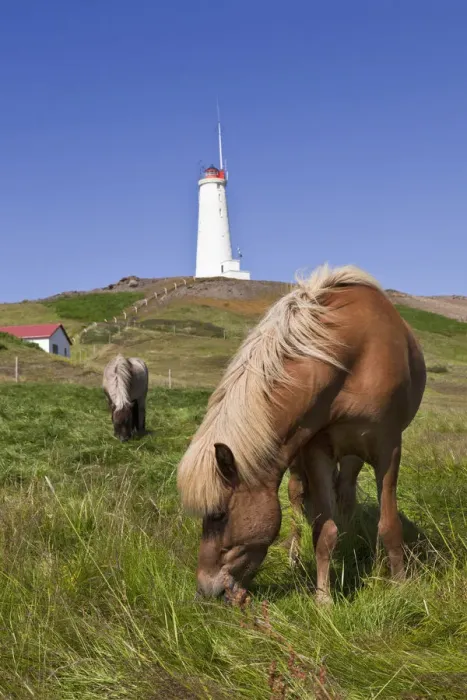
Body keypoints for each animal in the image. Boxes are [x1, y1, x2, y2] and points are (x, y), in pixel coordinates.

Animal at [177, 264, 426, 605]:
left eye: (219, 515)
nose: (204, 589)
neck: (355, 355)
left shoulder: (388, 447)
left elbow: (389, 524)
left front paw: (399, 585)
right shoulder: (316, 449)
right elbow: (324, 530)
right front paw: (324, 599)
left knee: (347, 493)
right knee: (299, 495)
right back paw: (297, 557)